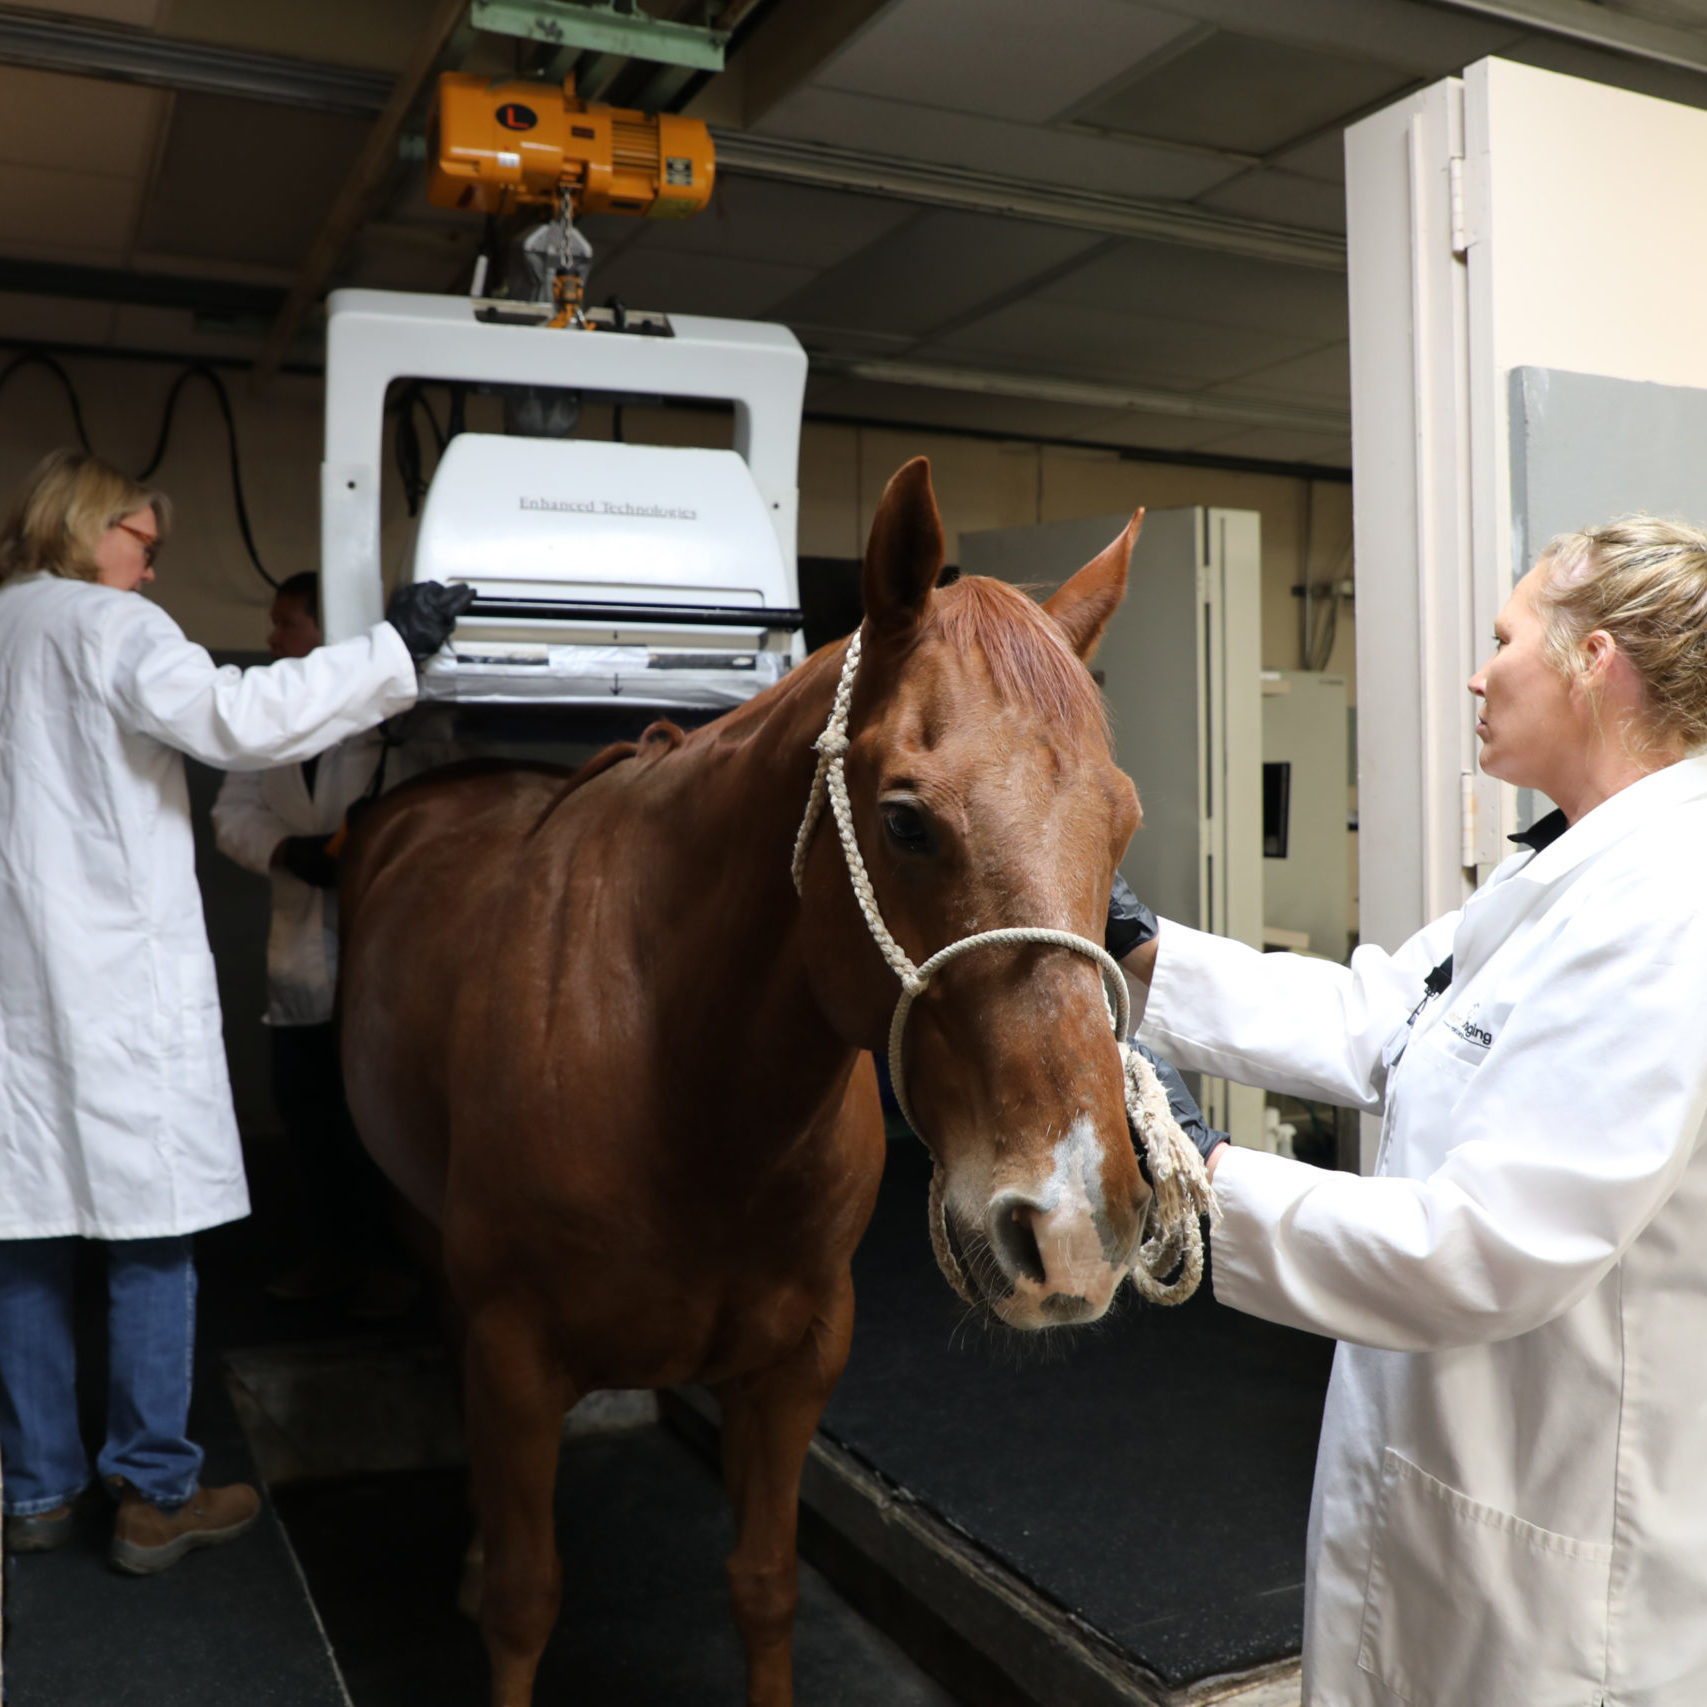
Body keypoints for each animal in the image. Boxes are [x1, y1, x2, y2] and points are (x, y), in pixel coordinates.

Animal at [336, 457, 1147, 1707]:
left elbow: (765, 1588)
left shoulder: (800, 1360)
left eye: (1124, 821)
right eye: (905, 821)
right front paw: (491, 1577)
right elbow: (525, 1602)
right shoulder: (517, 1360)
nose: (1072, 1226)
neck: (684, 1090)